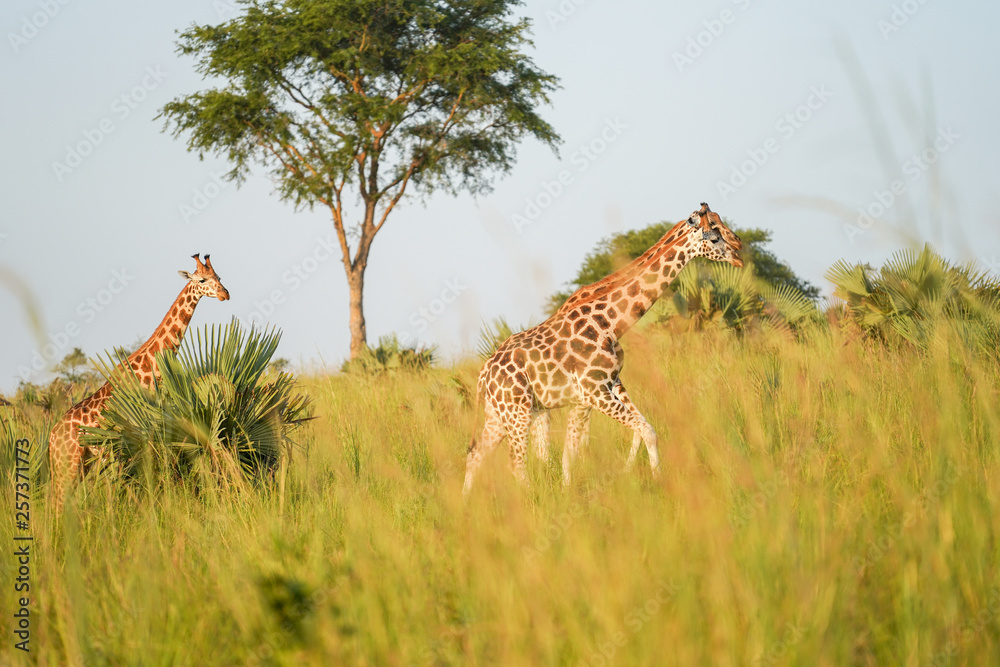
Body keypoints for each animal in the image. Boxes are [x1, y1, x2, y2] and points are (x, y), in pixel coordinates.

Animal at [47, 254, 230, 512]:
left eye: (219, 277)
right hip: (68, 462)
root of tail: (52, 438)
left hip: (82, 462)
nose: (225, 294)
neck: (146, 372)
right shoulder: (133, 438)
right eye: (202, 279)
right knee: (58, 504)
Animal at [464, 203, 743, 493]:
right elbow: (643, 431)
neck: (611, 323)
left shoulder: (595, 393)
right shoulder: (596, 392)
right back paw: (530, 500)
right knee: (516, 463)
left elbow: (574, 450)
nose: (738, 249)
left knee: (476, 454)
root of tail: (484, 375)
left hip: (500, 414)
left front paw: (568, 491)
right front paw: (657, 481)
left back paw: (466, 501)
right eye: (714, 236)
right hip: (518, 410)